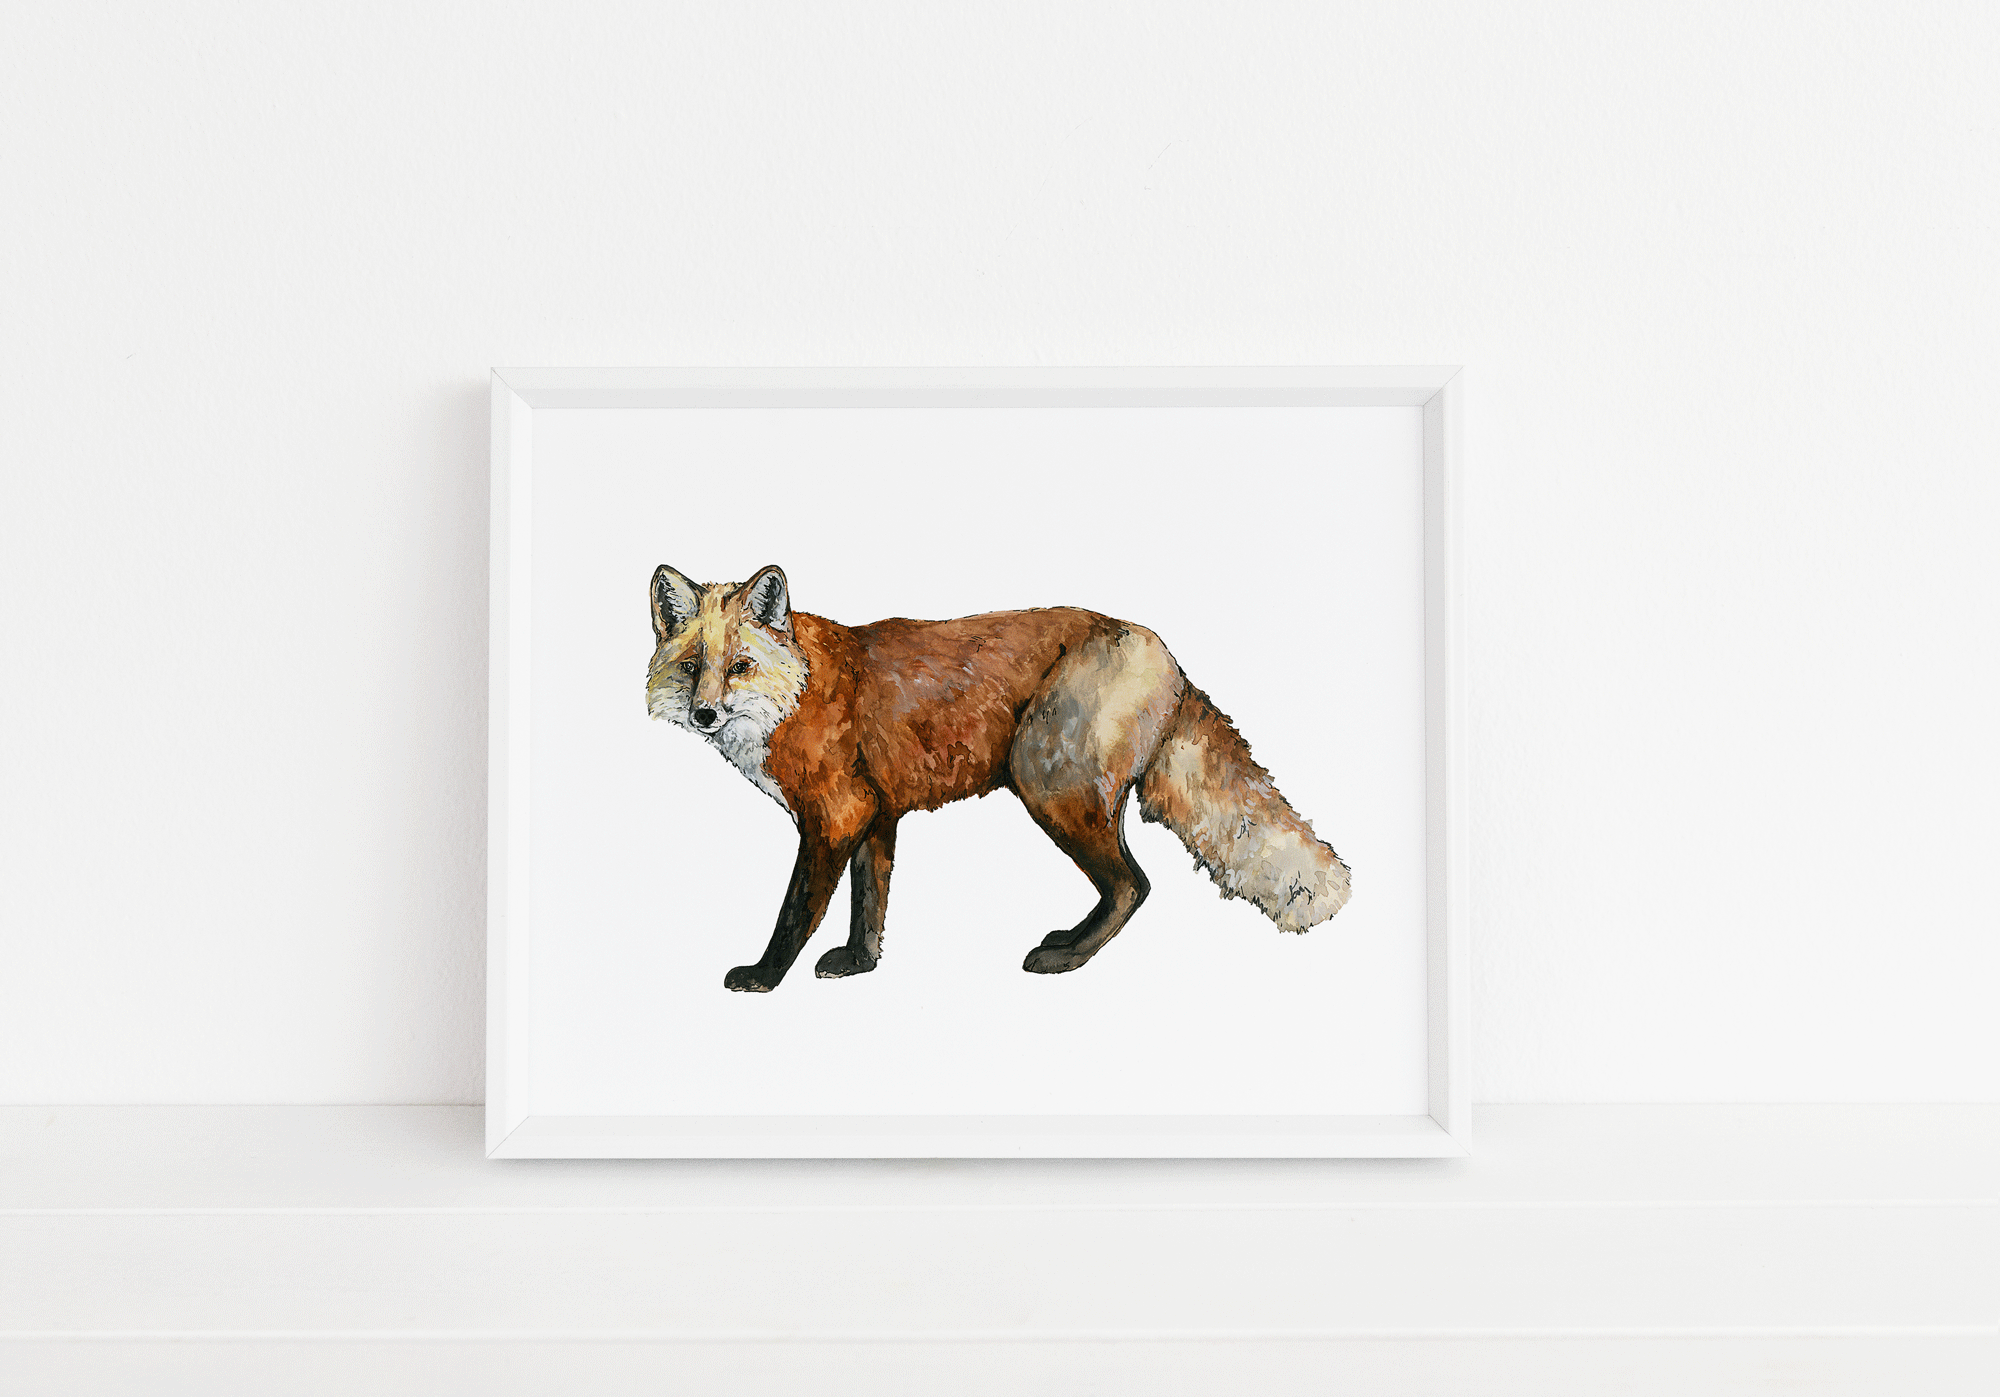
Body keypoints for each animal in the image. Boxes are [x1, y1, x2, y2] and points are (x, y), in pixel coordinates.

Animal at [646, 564, 1351, 992]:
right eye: (691, 668)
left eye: (739, 667)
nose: (705, 713)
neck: (799, 692)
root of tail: (1159, 648)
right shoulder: (877, 814)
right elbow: (869, 905)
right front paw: (859, 964)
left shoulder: (835, 816)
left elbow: (796, 910)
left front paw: (764, 975)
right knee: (1133, 884)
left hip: (1047, 785)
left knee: (1135, 884)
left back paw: (1065, 958)